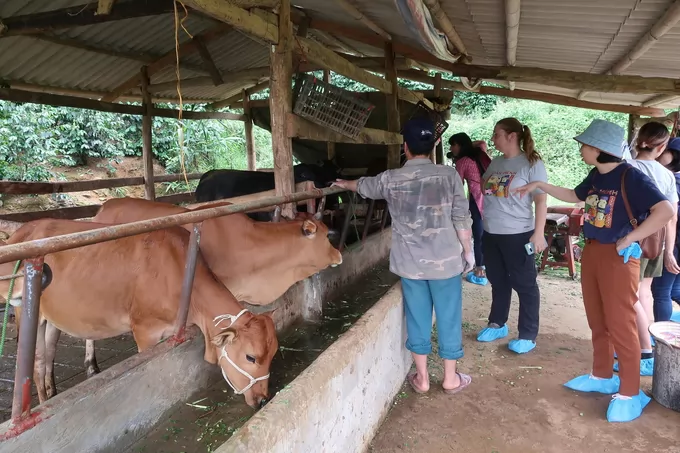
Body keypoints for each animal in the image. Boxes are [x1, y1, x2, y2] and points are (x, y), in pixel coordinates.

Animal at [1, 217, 278, 408]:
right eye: (251, 357)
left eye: (273, 353)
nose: (263, 399)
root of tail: (21, 231)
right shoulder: (145, 330)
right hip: (26, 310)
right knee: (36, 363)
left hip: (54, 316)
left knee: (49, 351)